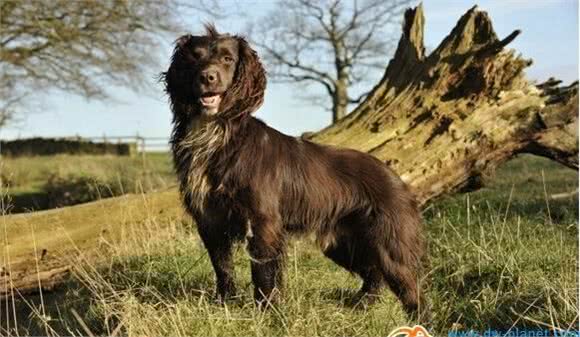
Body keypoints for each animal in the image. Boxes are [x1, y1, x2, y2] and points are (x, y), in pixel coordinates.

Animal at [163, 25, 426, 316]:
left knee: (411, 288)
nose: (207, 77)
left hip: (390, 243)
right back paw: (361, 305)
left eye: (227, 59)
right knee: (374, 273)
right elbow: (223, 268)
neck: (215, 133)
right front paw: (225, 304)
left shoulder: (263, 221)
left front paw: (268, 311)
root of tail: (398, 179)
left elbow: (264, 272)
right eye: (194, 57)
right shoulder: (210, 220)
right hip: (342, 243)